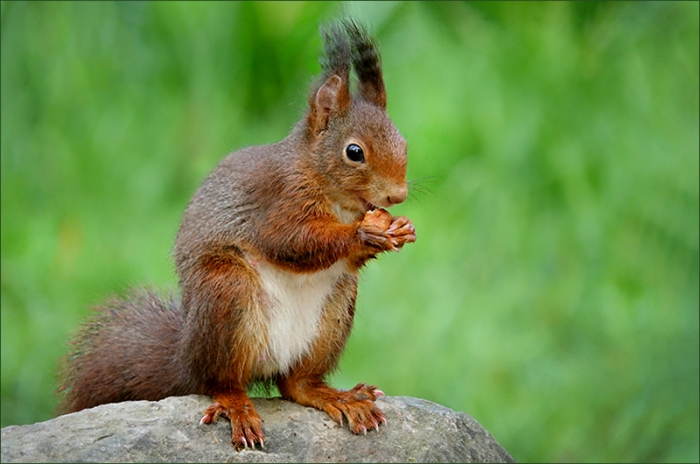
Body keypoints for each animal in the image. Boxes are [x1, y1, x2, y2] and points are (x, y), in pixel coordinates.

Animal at [57, 18, 416, 450]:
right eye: (354, 152)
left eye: (404, 142)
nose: (397, 194)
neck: (329, 188)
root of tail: (186, 358)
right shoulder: (277, 199)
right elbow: (290, 241)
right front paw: (363, 233)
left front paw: (398, 228)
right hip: (227, 292)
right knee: (219, 381)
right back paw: (237, 407)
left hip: (334, 310)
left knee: (295, 385)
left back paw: (338, 397)